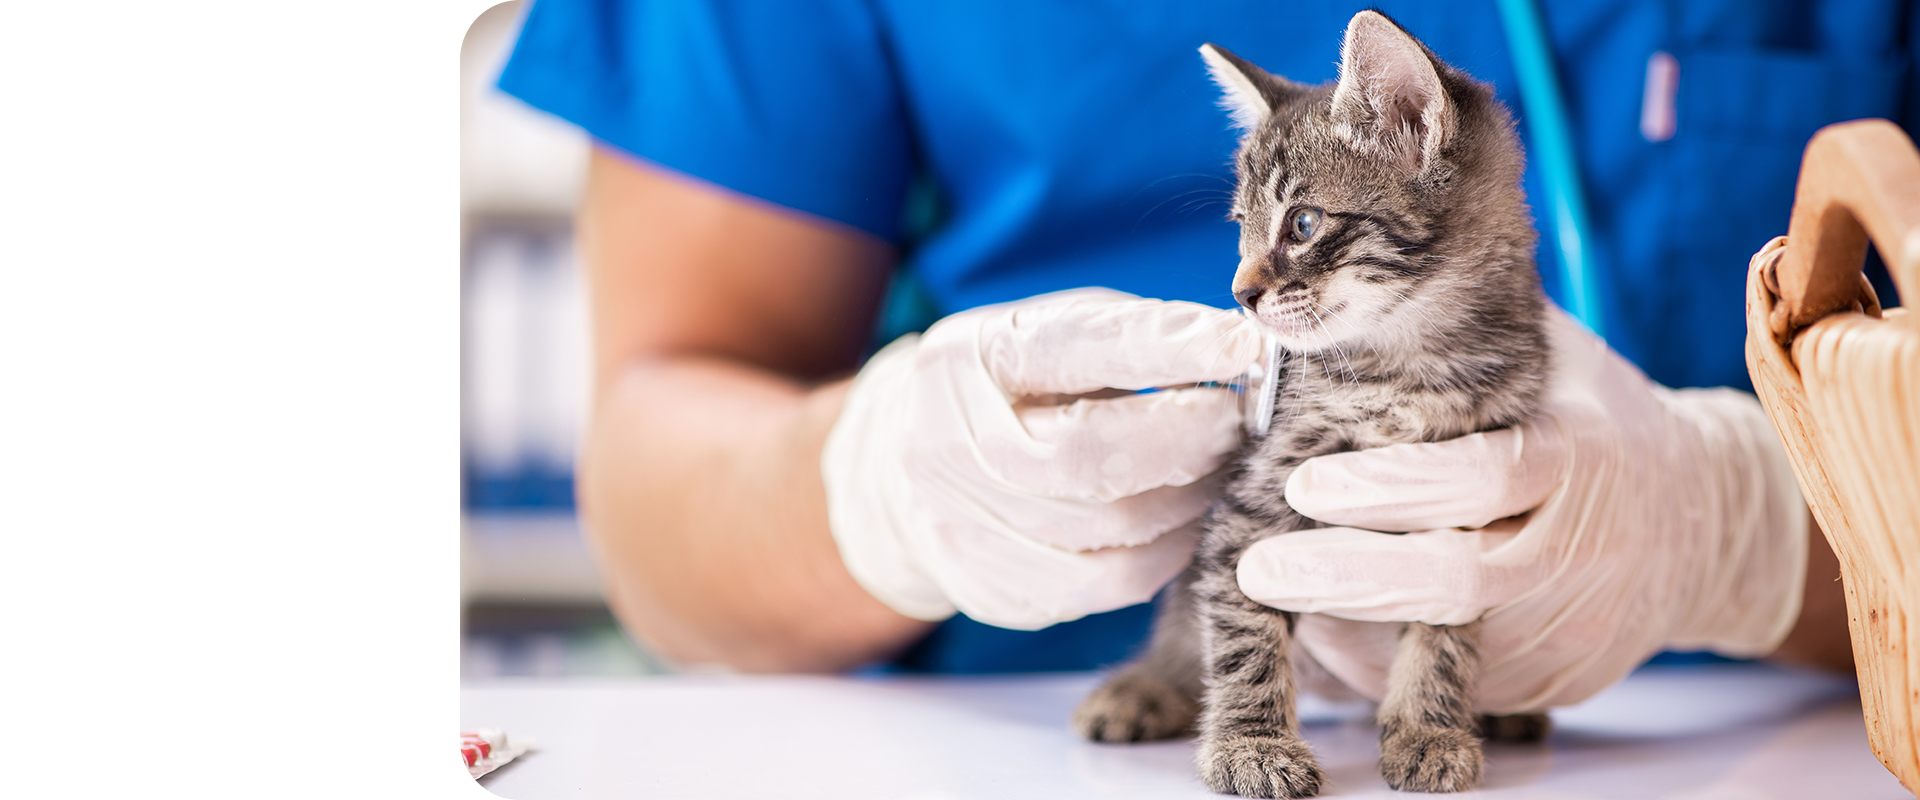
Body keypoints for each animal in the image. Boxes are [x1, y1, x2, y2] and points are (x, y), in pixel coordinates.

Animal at [1075, 12, 1551, 798]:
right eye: (1240, 227)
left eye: (1301, 224)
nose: (1240, 293)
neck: (1409, 365)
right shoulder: (1251, 507)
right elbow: (1242, 635)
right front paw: (1252, 745)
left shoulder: (1468, 512)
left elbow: (1445, 627)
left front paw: (1427, 727)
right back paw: (1144, 687)